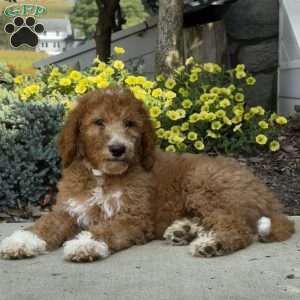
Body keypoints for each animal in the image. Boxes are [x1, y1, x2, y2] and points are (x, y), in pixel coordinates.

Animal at [0, 88, 294, 262]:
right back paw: (183, 230)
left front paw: (86, 245)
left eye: (130, 124)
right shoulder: (69, 209)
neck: (101, 177)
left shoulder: (134, 216)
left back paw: (212, 243)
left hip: (205, 184)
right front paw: (21, 241)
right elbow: (45, 224)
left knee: (237, 226)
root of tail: (266, 192)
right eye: (99, 122)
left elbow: (107, 229)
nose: (118, 149)